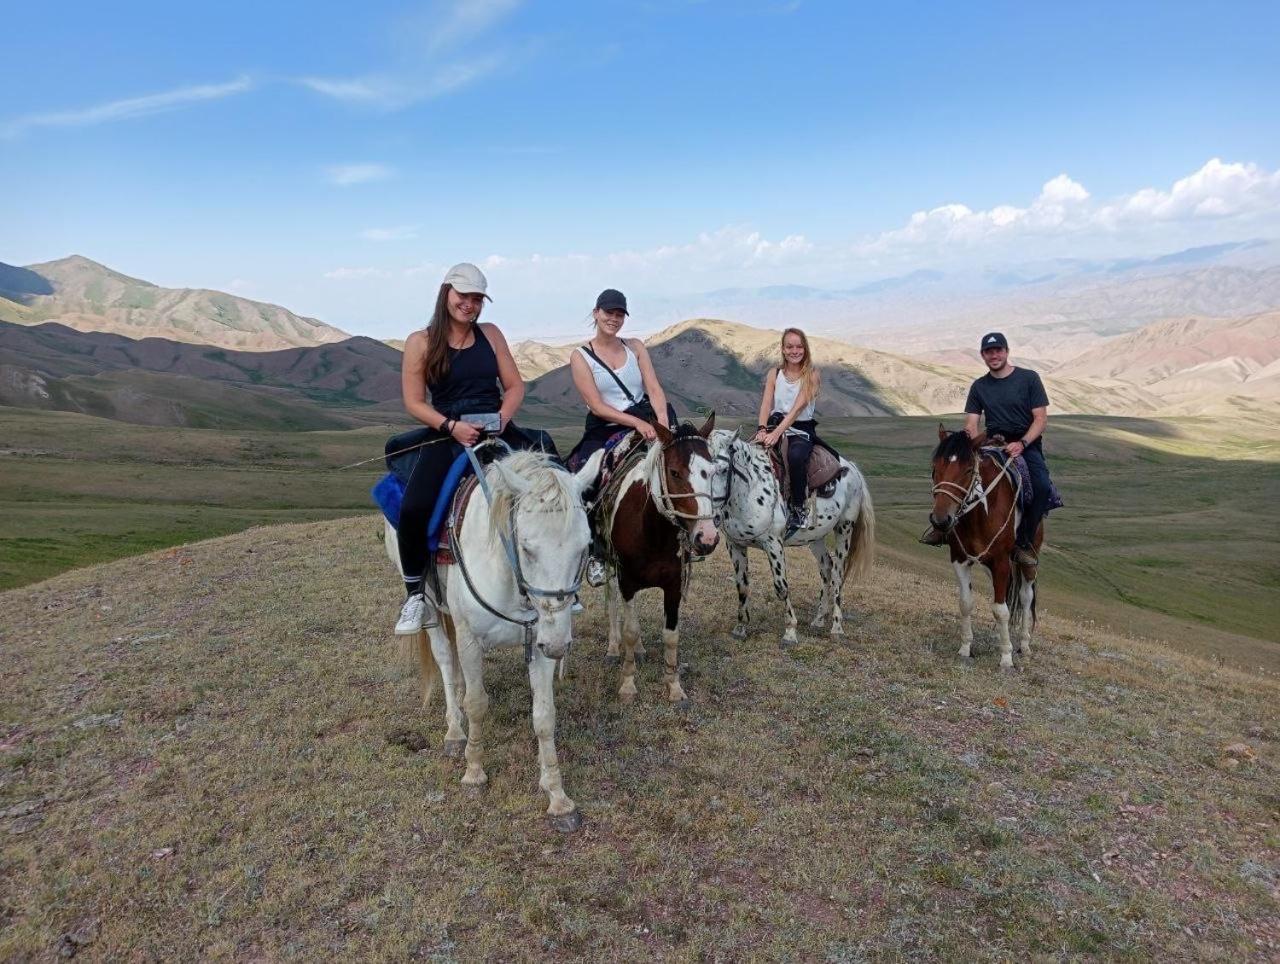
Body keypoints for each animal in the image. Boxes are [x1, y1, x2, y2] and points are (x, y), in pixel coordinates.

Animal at [378, 448, 604, 829]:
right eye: (527, 548)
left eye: (584, 546)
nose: (560, 645)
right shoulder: (470, 640)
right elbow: (476, 704)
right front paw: (474, 773)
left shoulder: (539, 642)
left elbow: (544, 716)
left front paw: (557, 797)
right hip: (432, 607)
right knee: (445, 659)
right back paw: (455, 733)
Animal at [596, 409, 721, 701]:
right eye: (674, 472)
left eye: (712, 472)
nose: (707, 538)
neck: (651, 530)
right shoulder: (627, 580)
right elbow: (630, 630)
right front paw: (628, 684)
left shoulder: (673, 584)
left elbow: (671, 634)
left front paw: (674, 686)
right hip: (610, 567)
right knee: (613, 603)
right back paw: (612, 649)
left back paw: (640, 650)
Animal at [706, 427, 875, 647]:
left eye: (724, 470)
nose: (712, 515)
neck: (749, 490)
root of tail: (851, 468)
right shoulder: (735, 544)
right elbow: (742, 586)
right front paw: (740, 628)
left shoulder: (773, 544)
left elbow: (781, 587)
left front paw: (790, 632)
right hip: (816, 536)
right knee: (826, 567)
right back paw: (819, 619)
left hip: (844, 528)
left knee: (838, 573)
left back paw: (837, 627)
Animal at [931, 427, 1039, 670]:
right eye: (935, 467)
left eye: (968, 470)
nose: (941, 520)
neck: (980, 513)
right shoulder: (959, 558)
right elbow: (966, 603)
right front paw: (965, 648)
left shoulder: (1000, 562)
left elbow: (1000, 610)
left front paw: (1006, 657)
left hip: (1027, 562)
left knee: (1025, 596)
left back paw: (1024, 644)